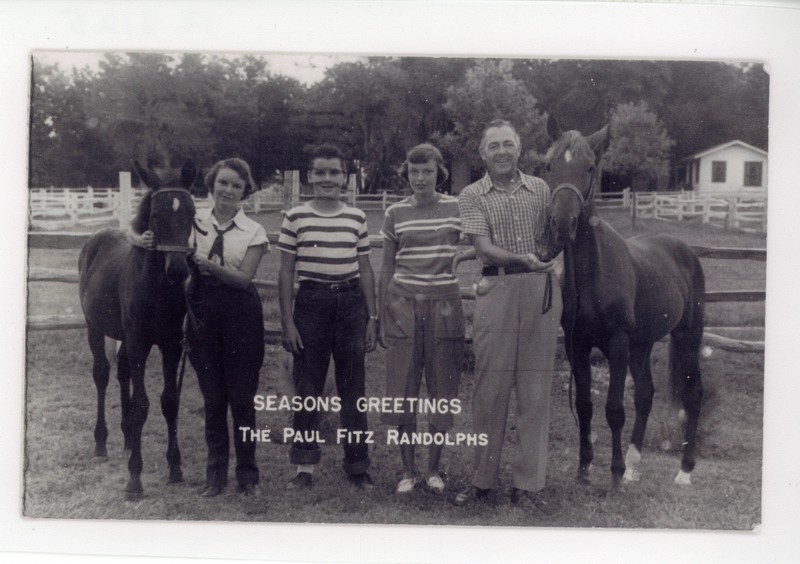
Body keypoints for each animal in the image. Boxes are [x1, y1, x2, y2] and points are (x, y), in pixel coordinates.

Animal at [79, 161, 198, 500]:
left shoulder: (172, 345)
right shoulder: (139, 342)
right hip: (95, 328)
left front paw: (175, 468)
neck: (157, 290)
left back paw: (129, 439)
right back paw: (102, 443)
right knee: (103, 374)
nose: (178, 270)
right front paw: (135, 478)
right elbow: (143, 404)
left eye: (192, 212)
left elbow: (168, 401)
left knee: (123, 375)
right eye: (156, 215)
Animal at [544, 115, 708, 490]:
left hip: (687, 337)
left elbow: (614, 409)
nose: (562, 225)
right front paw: (585, 468)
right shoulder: (577, 345)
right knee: (645, 395)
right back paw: (635, 465)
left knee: (693, 395)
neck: (594, 273)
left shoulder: (617, 344)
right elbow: (586, 405)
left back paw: (684, 471)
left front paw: (615, 474)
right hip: (642, 345)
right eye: (549, 166)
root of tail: (686, 251)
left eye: (590, 167)